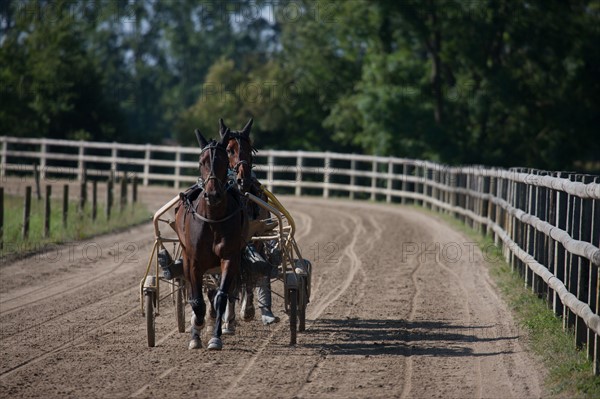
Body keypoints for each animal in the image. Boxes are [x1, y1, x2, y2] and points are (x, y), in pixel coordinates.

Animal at [175, 128, 245, 350]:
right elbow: (197, 301)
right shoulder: (193, 262)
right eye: (201, 161)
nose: (212, 194)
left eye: (224, 160)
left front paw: (215, 337)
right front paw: (196, 330)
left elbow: (221, 296)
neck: (213, 219)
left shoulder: (230, 258)